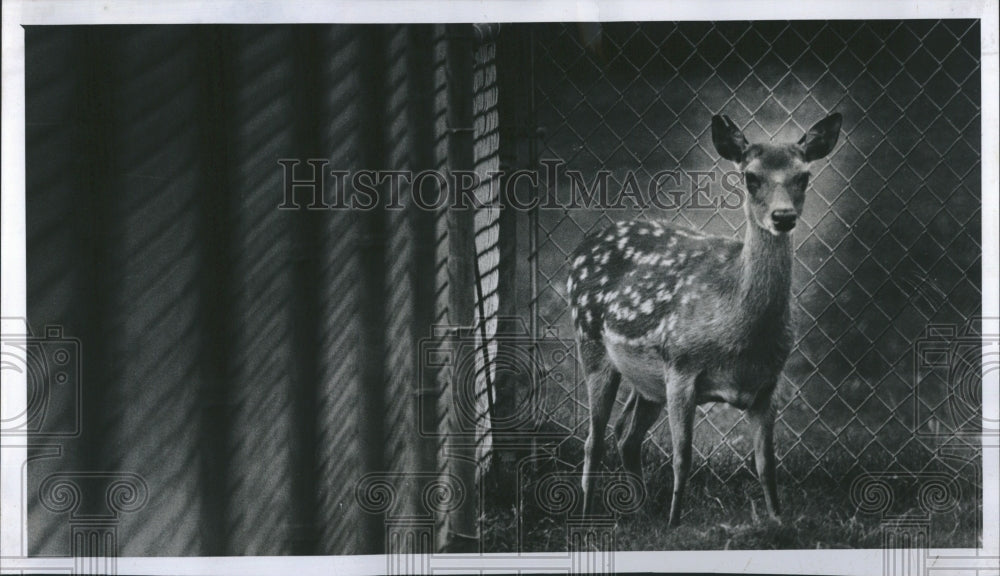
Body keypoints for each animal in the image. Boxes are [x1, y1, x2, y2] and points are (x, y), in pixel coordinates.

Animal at [566, 113, 842, 525]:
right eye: (751, 177)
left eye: (804, 176)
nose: (783, 216)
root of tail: (585, 243)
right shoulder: (682, 368)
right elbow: (683, 458)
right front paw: (675, 522)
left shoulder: (768, 385)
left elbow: (767, 464)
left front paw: (777, 520)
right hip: (593, 343)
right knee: (593, 440)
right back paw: (588, 515)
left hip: (647, 381)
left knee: (625, 434)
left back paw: (643, 510)